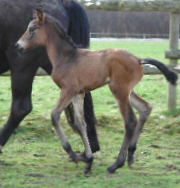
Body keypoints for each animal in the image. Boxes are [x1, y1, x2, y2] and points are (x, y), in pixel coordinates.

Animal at [0, 0, 100, 153]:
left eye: (31, 29)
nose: (19, 45)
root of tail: (64, 3)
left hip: (22, 65)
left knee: (21, 107)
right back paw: (91, 147)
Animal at [16, 9, 178, 175]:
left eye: (32, 29)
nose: (18, 46)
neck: (67, 57)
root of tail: (138, 59)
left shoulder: (68, 90)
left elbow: (54, 116)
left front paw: (73, 154)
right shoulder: (78, 94)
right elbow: (81, 123)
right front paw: (88, 160)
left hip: (119, 90)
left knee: (130, 121)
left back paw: (116, 164)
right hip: (128, 91)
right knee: (145, 108)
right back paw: (131, 155)